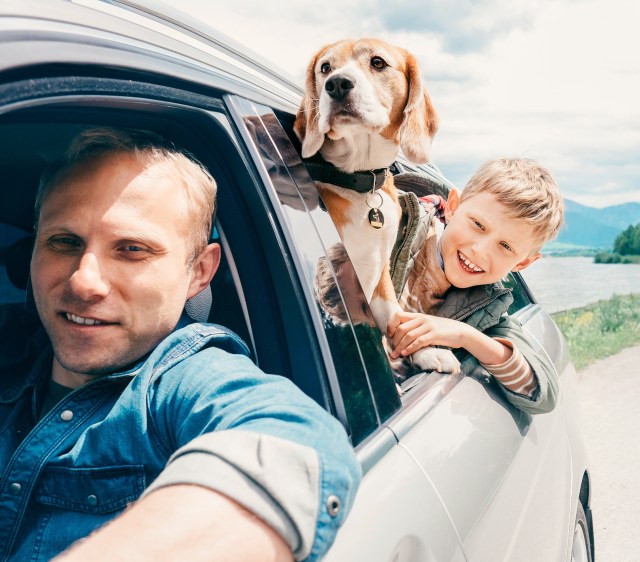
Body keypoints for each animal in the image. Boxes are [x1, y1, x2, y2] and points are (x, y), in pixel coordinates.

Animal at [296, 37, 460, 374]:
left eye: (378, 62)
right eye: (325, 67)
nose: (337, 84)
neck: (360, 181)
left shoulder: (378, 267)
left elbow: (393, 314)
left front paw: (424, 351)